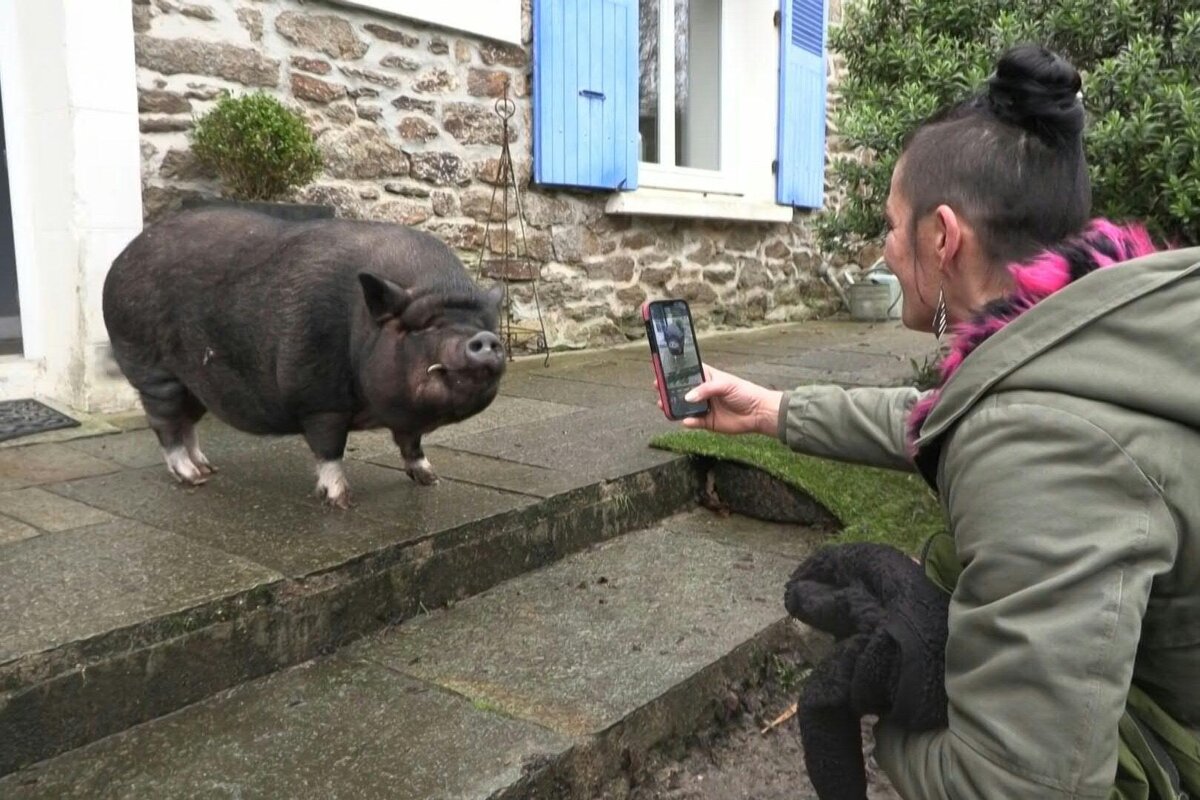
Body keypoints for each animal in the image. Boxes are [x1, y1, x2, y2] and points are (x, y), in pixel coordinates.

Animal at [104, 206, 511, 506]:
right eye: (424, 326)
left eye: (483, 322)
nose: (485, 339)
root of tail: (121, 259)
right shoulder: (319, 396)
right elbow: (329, 447)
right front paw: (342, 500)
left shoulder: (406, 411)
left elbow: (411, 443)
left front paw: (430, 479)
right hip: (154, 371)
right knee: (166, 424)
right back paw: (192, 478)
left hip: (195, 382)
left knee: (187, 422)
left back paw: (208, 469)